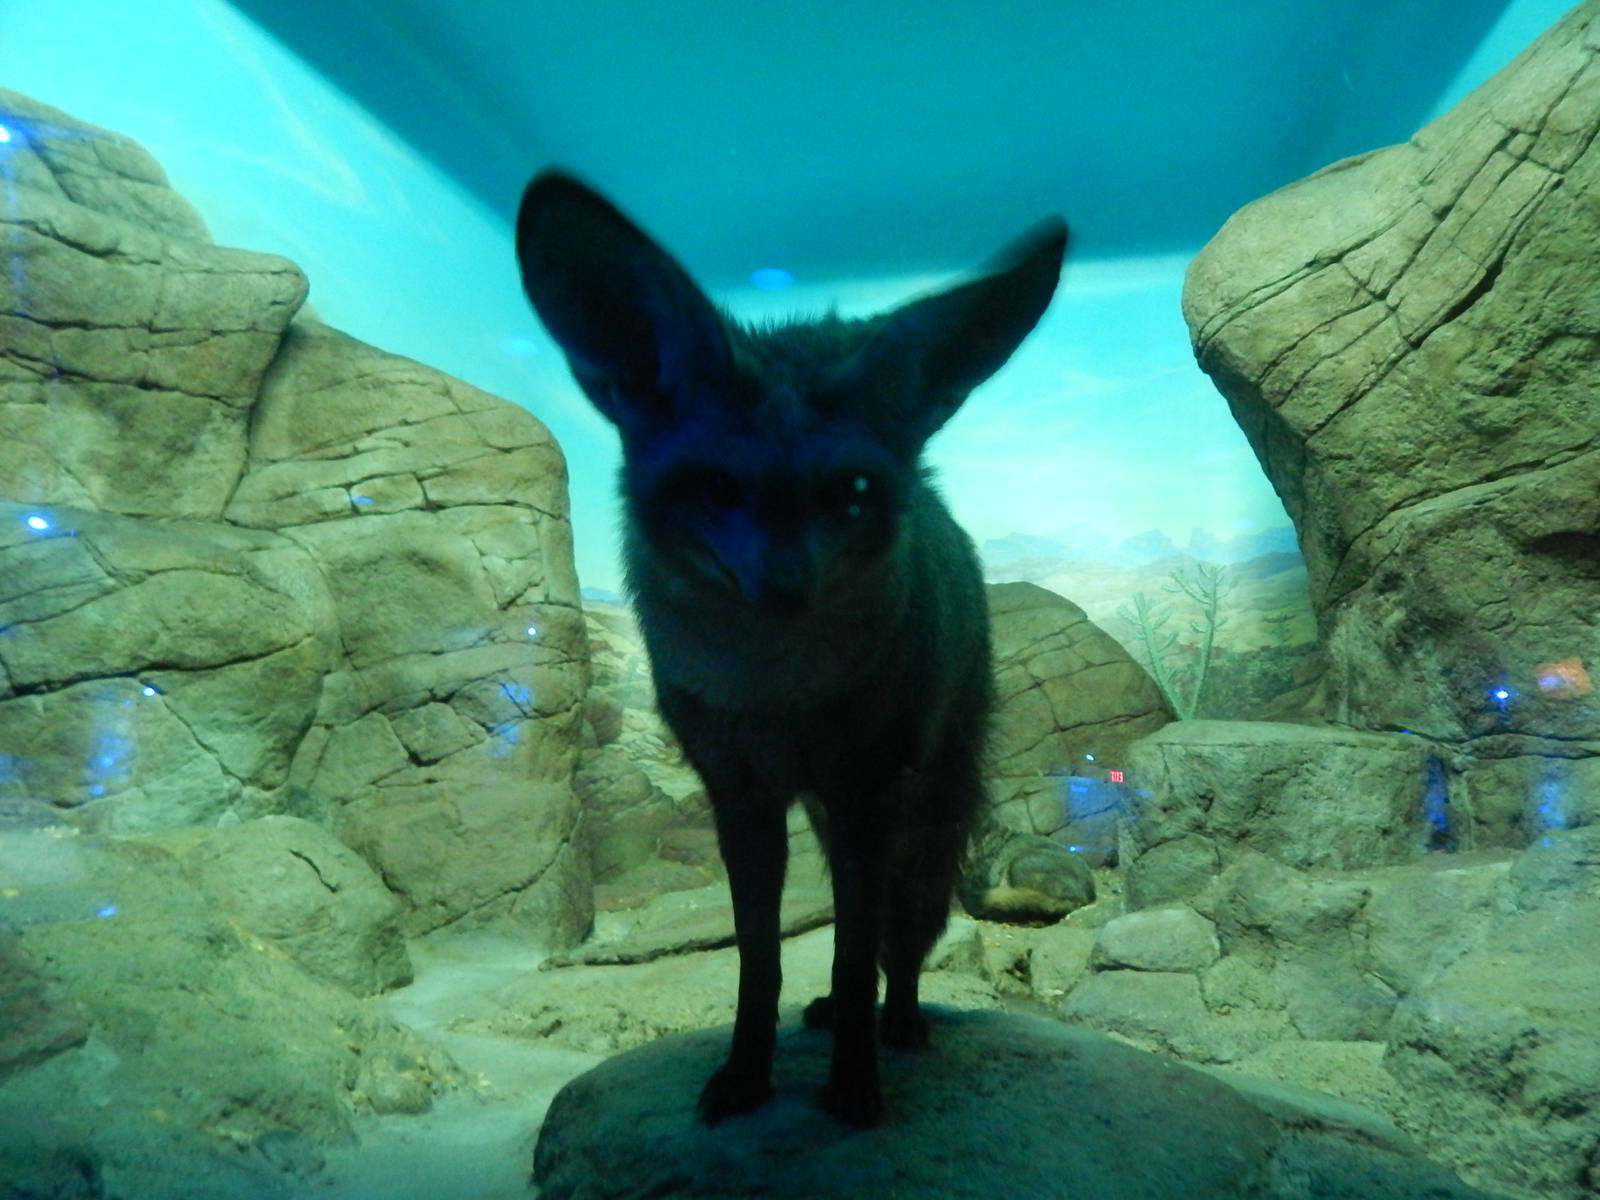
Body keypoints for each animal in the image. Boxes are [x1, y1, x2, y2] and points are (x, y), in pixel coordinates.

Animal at [515, 171, 1066, 1129]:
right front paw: (746, 1074)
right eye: (716, 487)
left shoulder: (867, 791)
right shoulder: (741, 798)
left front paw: (853, 1087)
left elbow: (853, 947)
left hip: (923, 810)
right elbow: (758, 961)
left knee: (900, 936)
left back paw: (899, 1021)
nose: (785, 589)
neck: (776, 699)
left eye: (852, 492)